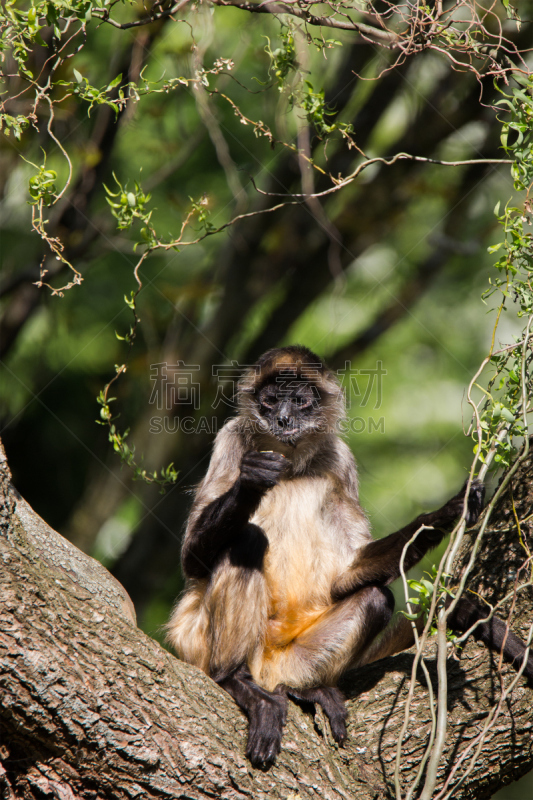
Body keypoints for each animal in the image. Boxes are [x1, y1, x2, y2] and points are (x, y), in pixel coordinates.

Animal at [166, 346, 532, 768]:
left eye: (300, 401)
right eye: (271, 400)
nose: (283, 419)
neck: (290, 464)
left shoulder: (340, 458)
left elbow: (345, 576)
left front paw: (446, 512)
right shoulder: (230, 438)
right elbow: (191, 562)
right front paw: (251, 481)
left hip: (293, 659)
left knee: (375, 598)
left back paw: (304, 690)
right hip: (197, 642)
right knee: (245, 541)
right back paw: (234, 680)